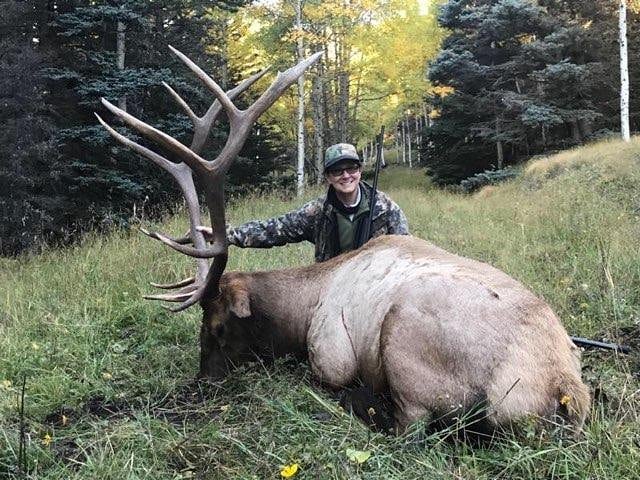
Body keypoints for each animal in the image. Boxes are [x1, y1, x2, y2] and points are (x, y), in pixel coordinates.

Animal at [97, 46, 590, 437]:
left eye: (218, 327)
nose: (201, 384)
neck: (301, 310)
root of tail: (562, 388)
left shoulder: (330, 355)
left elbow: (329, 377)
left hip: (405, 340)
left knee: (410, 427)